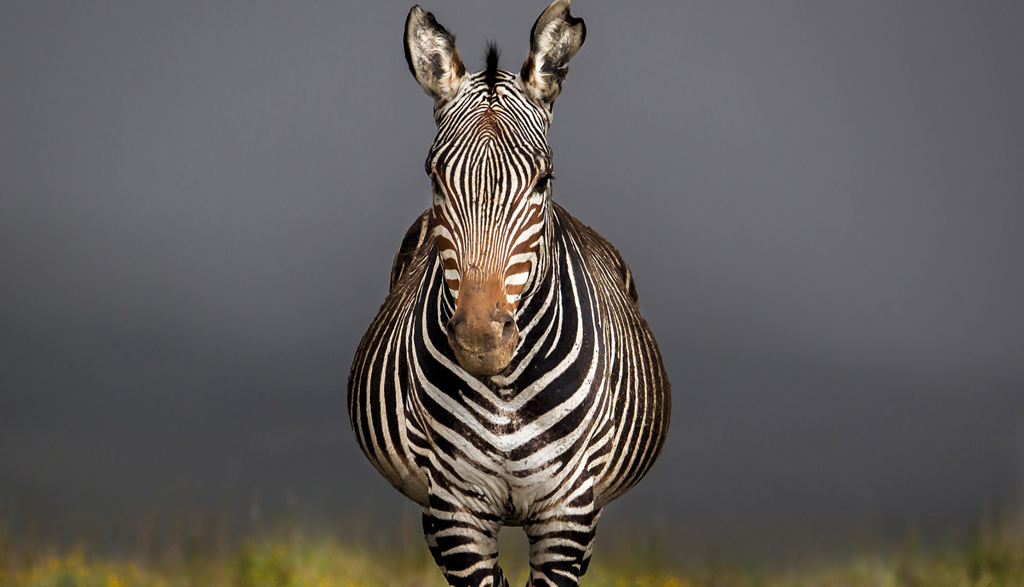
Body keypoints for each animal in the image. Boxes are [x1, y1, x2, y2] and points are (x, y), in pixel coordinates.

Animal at [352, 2, 671, 581]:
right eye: (434, 178)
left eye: (544, 179)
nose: (481, 338)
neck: (503, 389)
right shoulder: (453, 510)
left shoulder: (570, 513)